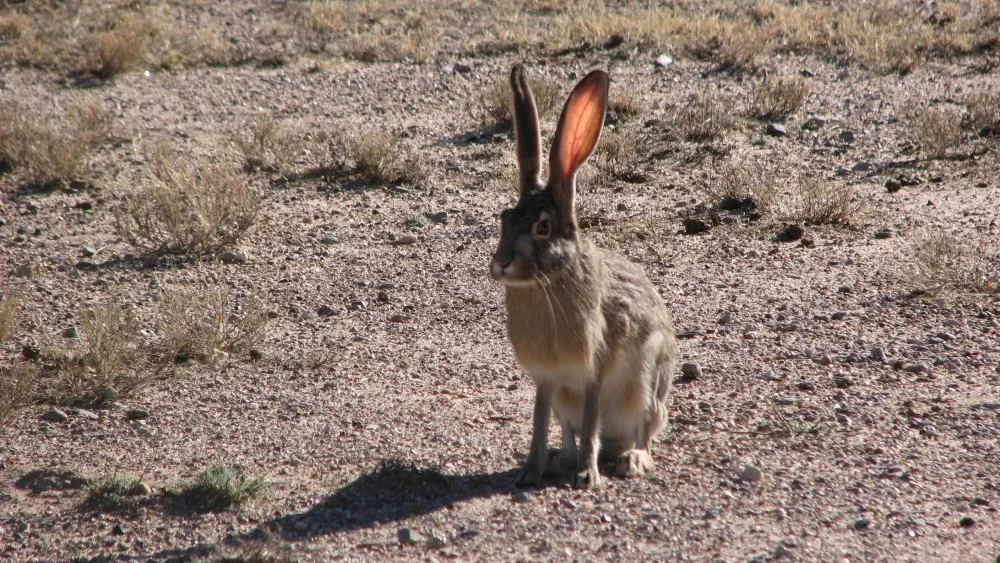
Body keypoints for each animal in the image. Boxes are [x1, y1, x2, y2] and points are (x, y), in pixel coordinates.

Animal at [489, 64, 677, 489]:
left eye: (544, 227)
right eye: (505, 219)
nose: (502, 264)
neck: (548, 281)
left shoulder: (594, 372)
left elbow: (591, 425)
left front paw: (588, 476)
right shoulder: (547, 381)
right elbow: (541, 424)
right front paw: (530, 472)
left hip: (648, 381)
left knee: (643, 429)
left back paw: (631, 460)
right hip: (569, 401)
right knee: (569, 432)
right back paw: (562, 460)